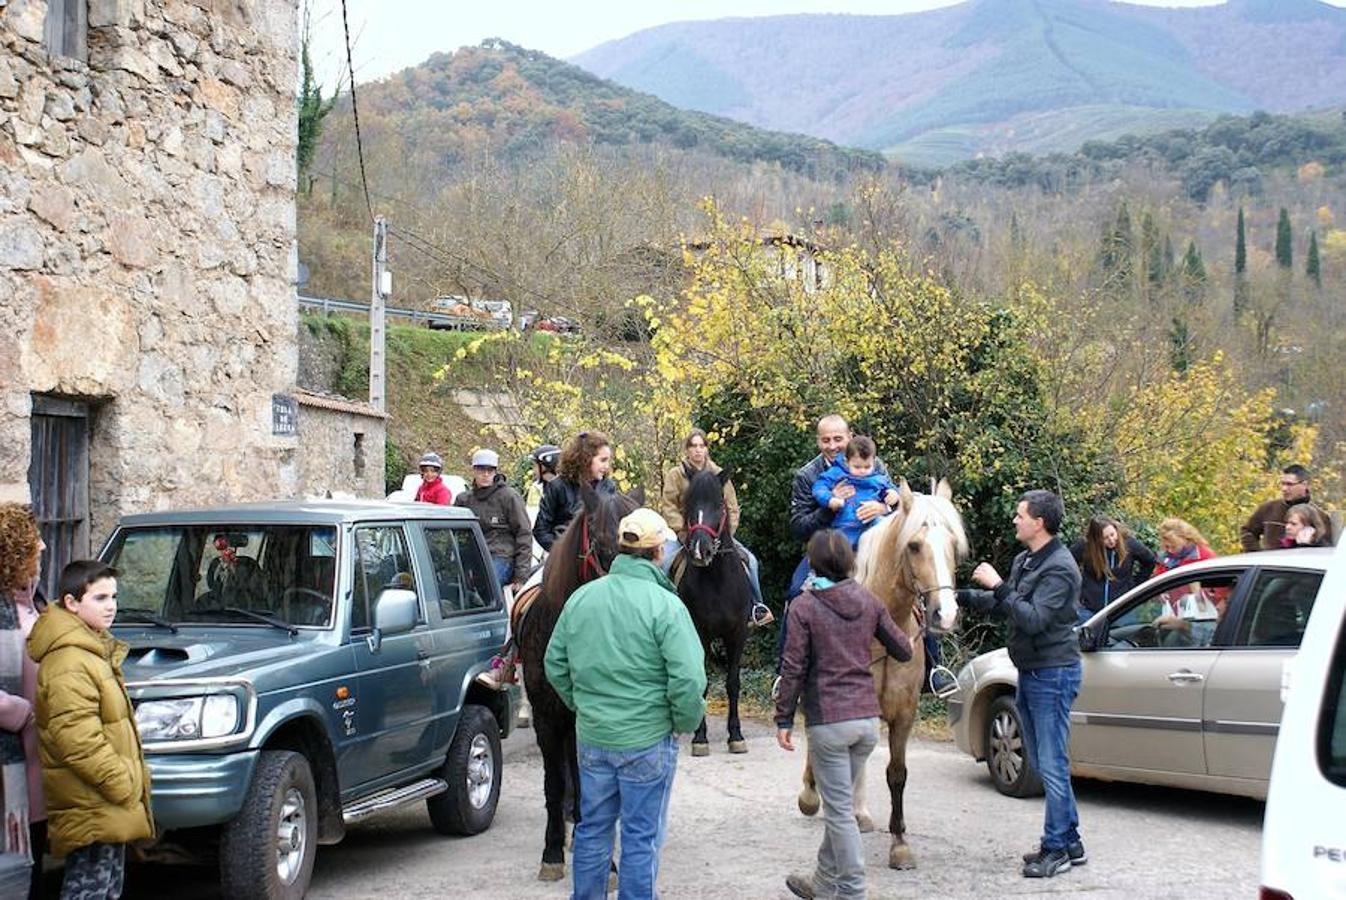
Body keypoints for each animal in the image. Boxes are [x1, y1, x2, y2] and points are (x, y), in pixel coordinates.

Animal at [514, 481, 640, 882]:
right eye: (601, 543)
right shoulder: (545, 716)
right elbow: (554, 783)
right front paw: (552, 852)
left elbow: (591, 787)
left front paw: (605, 861)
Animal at [678, 462, 753, 753]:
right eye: (688, 503)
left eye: (720, 505)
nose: (701, 551)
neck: (717, 580)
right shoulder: (700, 634)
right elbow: (703, 682)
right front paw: (700, 737)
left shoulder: (737, 633)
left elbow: (732, 683)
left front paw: (736, 735)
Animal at [791, 481, 963, 866]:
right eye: (914, 545)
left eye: (952, 544)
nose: (945, 614)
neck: (882, 628)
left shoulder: (904, 714)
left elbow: (896, 774)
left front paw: (899, 843)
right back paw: (812, 796)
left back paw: (860, 812)